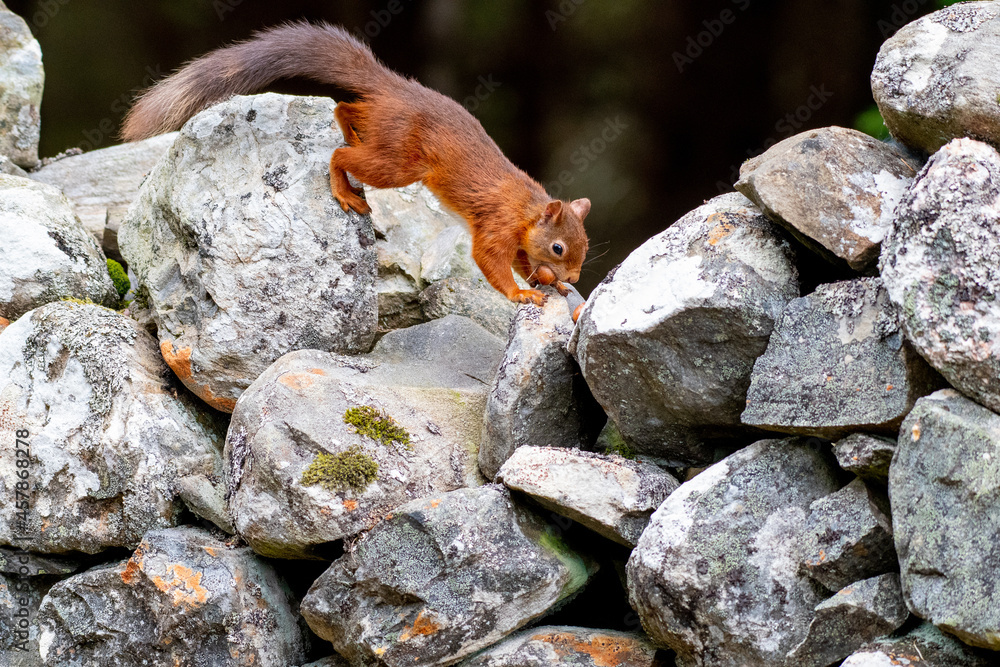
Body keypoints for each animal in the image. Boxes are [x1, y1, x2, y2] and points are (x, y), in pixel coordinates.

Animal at [122, 22, 590, 306]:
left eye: (584, 245)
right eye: (559, 246)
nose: (577, 276)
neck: (526, 207)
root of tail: (394, 87)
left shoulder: (519, 240)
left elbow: (523, 263)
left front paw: (547, 282)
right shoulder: (495, 225)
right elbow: (492, 262)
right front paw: (521, 294)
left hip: (383, 133)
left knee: (346, 107)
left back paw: (349, 130)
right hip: (401, 163)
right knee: (339, 155)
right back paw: (344, 188)